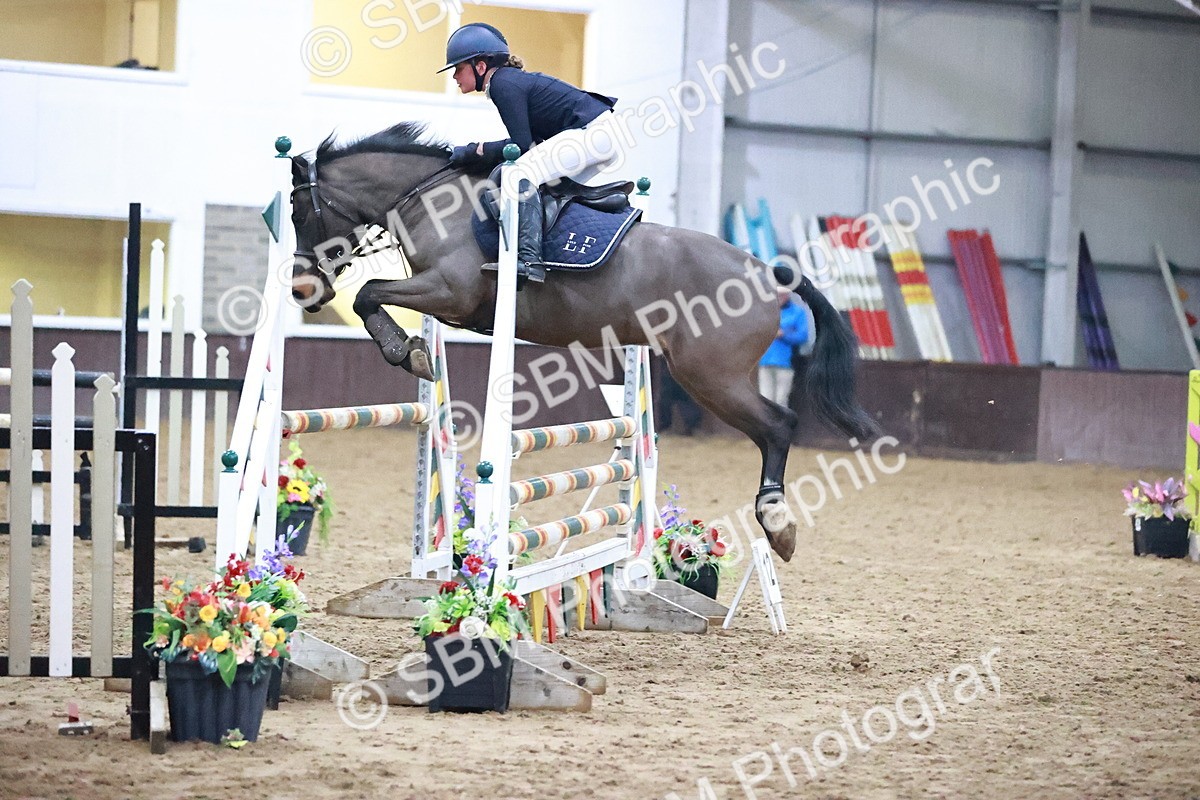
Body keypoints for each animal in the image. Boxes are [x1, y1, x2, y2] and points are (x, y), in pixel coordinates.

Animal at [288, 122, 877, 562]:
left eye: (297, 213)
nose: (301, 289)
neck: (429, 200)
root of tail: (770, 273)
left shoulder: (449, 291)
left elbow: (368, 295)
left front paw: (404, 352)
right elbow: (373, 297)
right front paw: (411, 350)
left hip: (710, 376)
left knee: (779, 425)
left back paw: (777, 522)